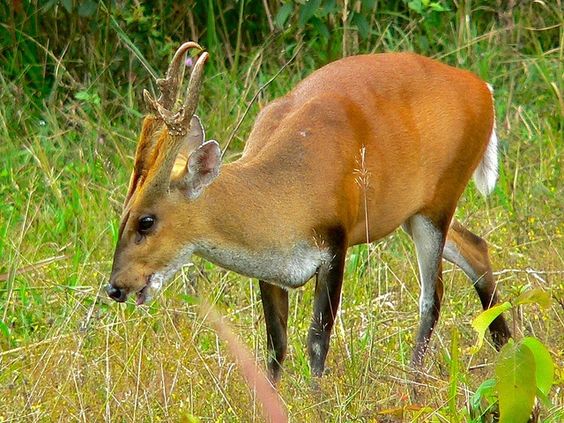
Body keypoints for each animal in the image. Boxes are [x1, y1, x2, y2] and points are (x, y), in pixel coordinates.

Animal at [106, 43, 512, 384]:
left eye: (146, 220)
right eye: (121, 216)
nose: (115, 287)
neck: (286, 194)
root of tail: (485, 90)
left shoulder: (335, 242)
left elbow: (317, 339)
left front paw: (319, 403)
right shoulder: (269, 268)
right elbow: (275, 346)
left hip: (441, 198)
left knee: (433, 296)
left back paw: (415, 382)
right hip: (414, 211)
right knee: (477, 247)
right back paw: (506, 347)